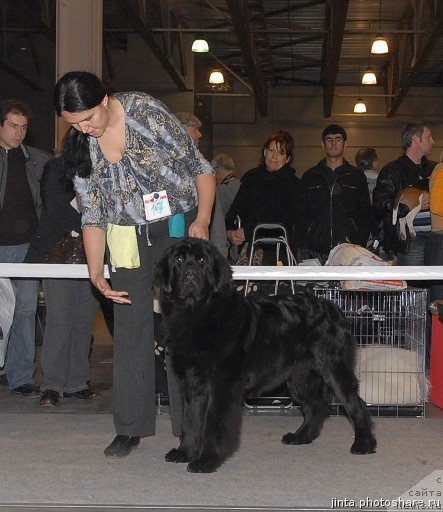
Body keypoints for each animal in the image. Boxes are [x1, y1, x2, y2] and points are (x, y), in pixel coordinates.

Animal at [156, 237, 378, 472]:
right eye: (179, 260)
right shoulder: (191, 382)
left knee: (354, 404)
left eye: (201, 261)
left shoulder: (222, 384)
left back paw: (363, 443)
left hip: (332, 368)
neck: (198, 314)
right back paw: (301, 437)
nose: (190, 274)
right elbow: (190, 419)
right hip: (300, 376)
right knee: (315, 405)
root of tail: (332, 306)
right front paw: (184, 451)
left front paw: (207, 459)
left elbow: (214, 423)